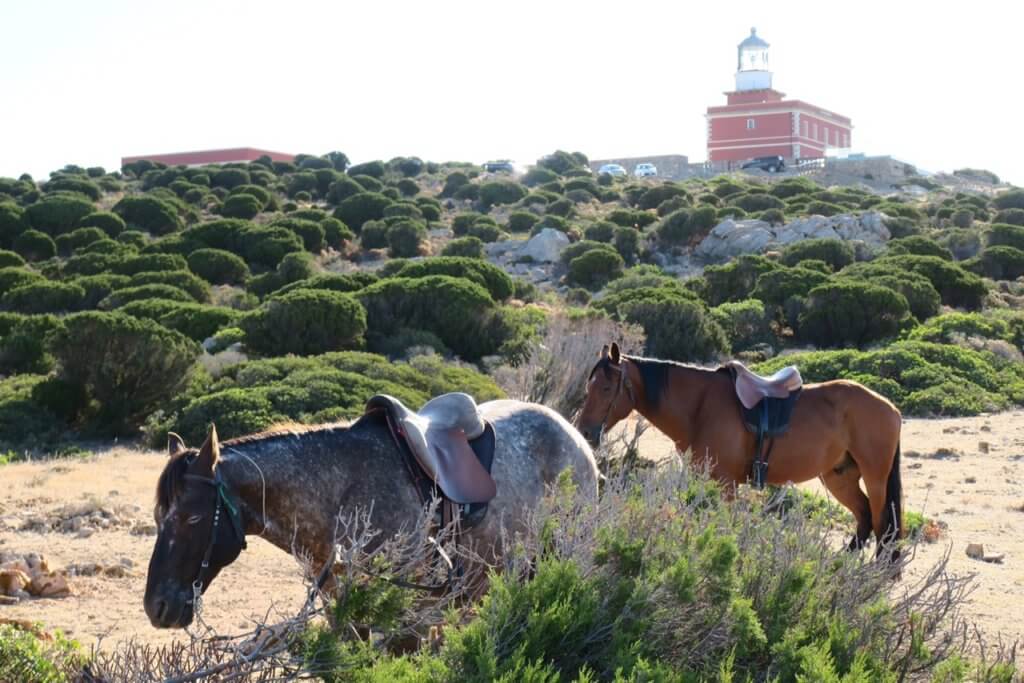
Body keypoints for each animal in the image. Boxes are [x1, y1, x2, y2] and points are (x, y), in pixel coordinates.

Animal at [575, 343, 903, 559]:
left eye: (606, 388)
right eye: (588, 386)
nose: (585, 431)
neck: (700, 408)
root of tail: (890, 407)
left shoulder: (726, 485)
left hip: (875, 477)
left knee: (881, 522)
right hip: (839, 476)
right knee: (864, 517)